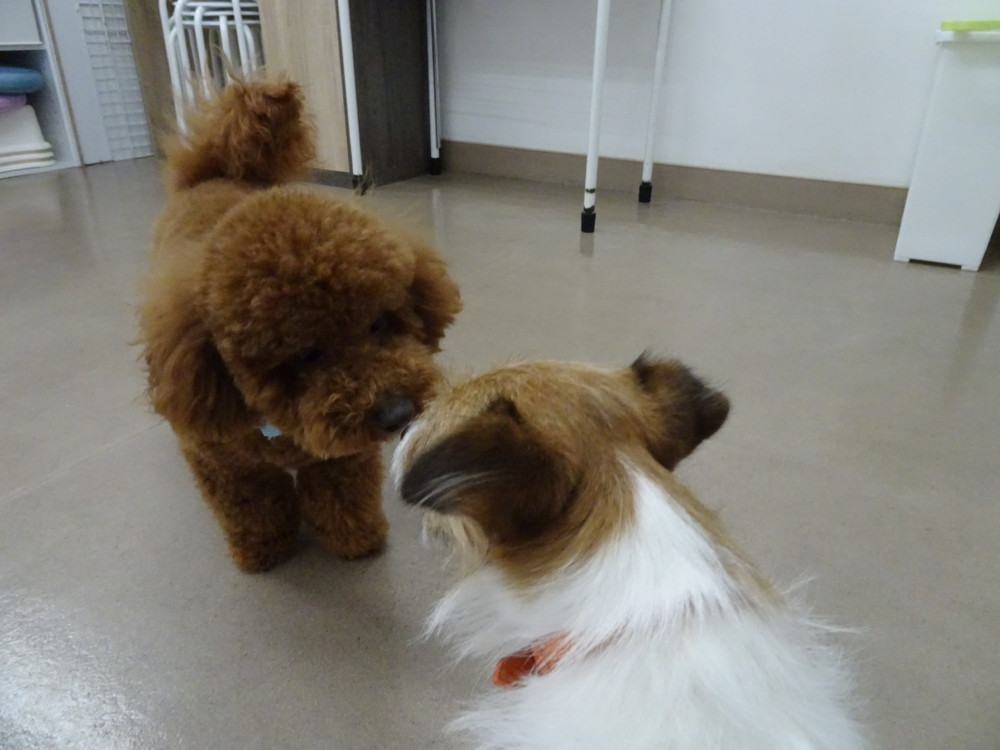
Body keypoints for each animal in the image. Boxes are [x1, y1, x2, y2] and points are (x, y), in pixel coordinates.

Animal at [138, 79, 461, 572]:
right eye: (306, 353)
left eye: (377, 324)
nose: (398, 413)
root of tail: (212, 175)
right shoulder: (225, 464)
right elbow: (253, 508)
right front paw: (263, 550)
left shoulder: (339, 457)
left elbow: (341, 497)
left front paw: (355, 539)